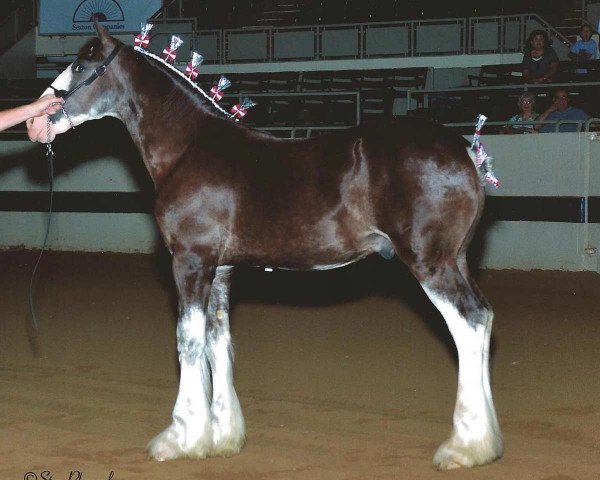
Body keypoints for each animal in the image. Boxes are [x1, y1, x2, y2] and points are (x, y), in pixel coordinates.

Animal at [27, 23, 502, 468]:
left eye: (83, 66)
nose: (36, 121)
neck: (188, 149)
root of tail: (464, 151)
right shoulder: (219, 269)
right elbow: (218, 341)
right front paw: (221, 437)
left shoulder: (190, 262)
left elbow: (188, 341)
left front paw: (179, 438)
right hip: (456, 261)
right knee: (484, 319)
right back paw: (487, 443)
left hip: (431, 263)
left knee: (468, 325)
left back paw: (464, 447)